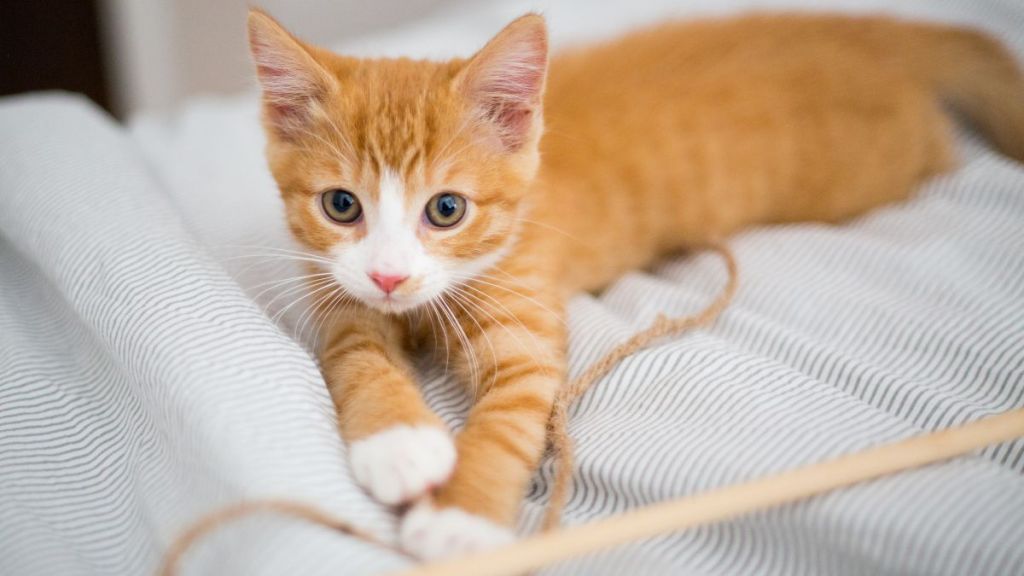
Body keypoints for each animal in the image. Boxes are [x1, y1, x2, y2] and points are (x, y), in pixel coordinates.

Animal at [247, 7, 1024, 557]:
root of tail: (865, 29)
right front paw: (400, 442)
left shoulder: (528, 320)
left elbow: (510, 416)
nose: (389, 273)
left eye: (446, 210)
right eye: (341, 205)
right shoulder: (338, 292)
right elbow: (355, 354)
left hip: (878, 167)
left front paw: (461, 518)